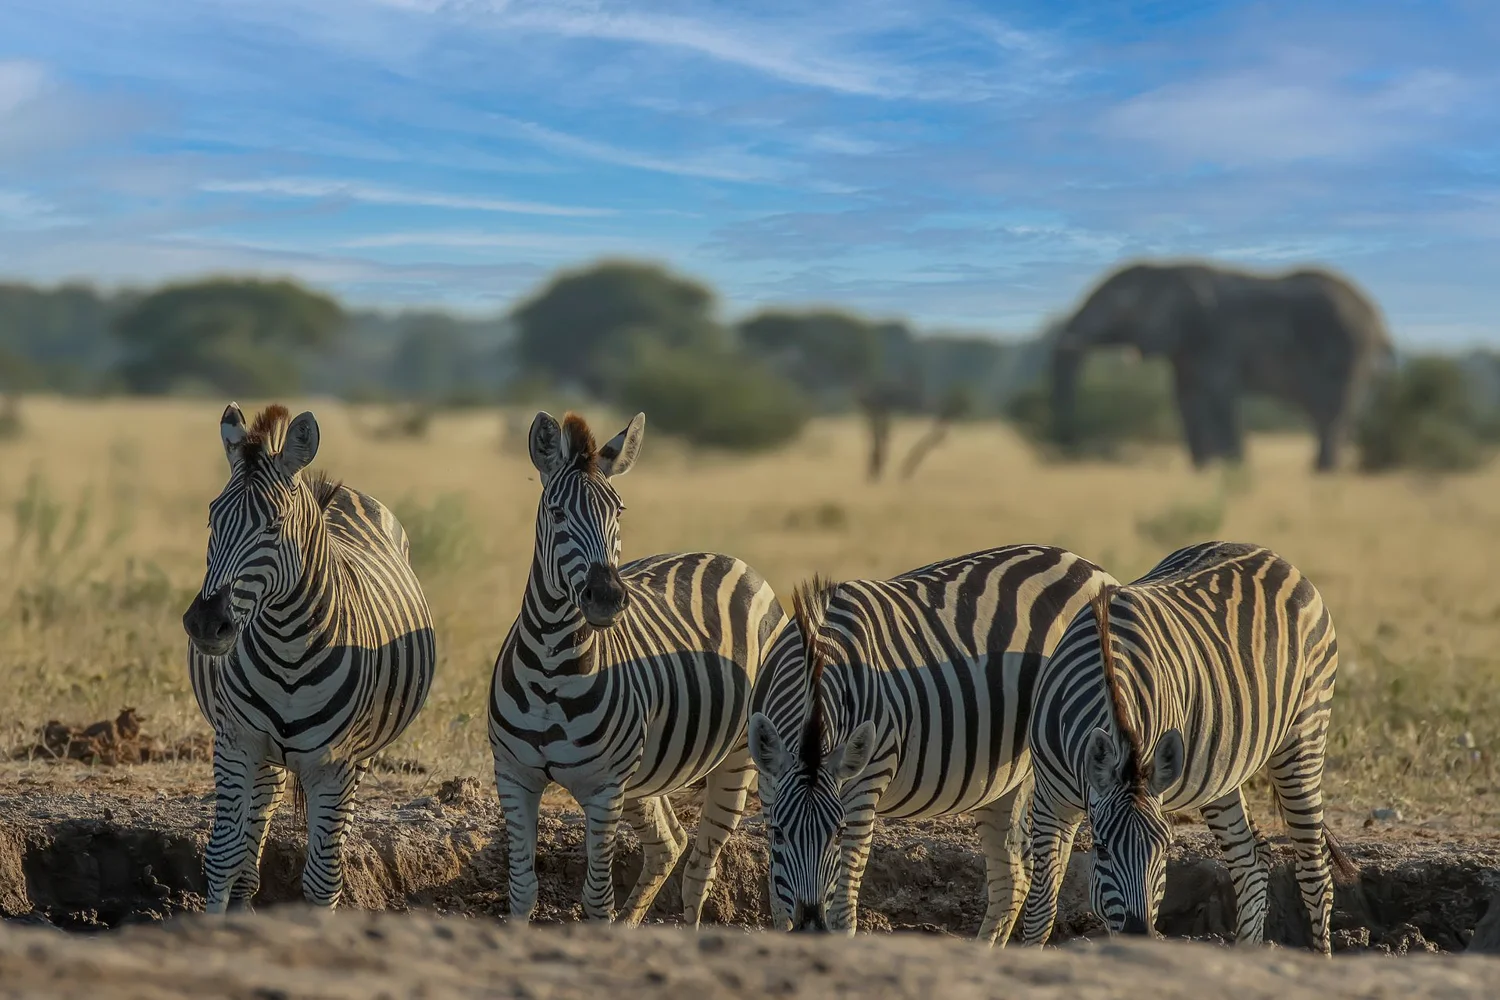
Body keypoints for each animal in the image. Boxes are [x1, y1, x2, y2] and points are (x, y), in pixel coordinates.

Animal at [182, 403, 435, 912]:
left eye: (274, 525)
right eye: (212, 519)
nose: (205, 623)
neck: (288, 649)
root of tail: (342, 493)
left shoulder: (335, 764)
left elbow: (323, 879)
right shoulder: (237, 741)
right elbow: (223, 855)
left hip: (357, 759)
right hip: (265, 754)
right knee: (255, 824)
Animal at [489, 410, 787, 925]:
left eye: (619, 512)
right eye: (557, 514)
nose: (607, 597)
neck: (550, 668)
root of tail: (729, 558)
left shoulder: (604, 788)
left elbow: (596, 899)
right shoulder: (514, 776)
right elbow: (523, 890)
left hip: (740, 757)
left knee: (703, 866)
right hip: (645, 775)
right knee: (671, 843)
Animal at [745, 545, 1116, 939]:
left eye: (837, 832)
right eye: (778, 834)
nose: (811, 928)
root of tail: (1090, 566)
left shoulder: (865, 784)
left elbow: (843, 911)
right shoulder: (769, 788)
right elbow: (777, 905)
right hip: (1005, 782)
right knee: (1013, 878)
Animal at [1018, 541, 1356, 954]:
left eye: (1165, 849)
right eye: (1100, 848)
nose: (1137, 936)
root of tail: (1274, 557)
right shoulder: (1050, 801)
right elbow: (1041, 909)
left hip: (1305, 733)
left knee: (1315, 872)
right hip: (1224, 766)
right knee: (1251, 857)